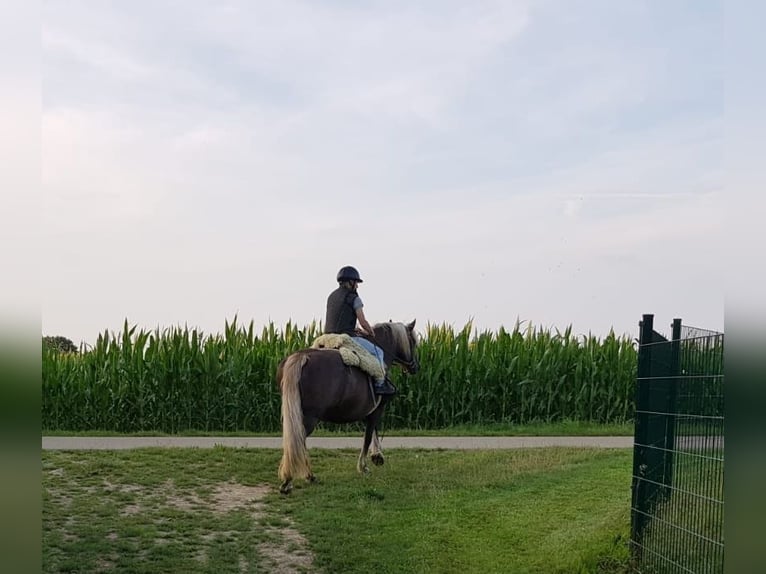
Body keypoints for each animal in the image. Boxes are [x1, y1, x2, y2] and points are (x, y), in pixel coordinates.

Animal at [276, 320, 420, 496]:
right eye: (413, 342)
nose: (415, 366)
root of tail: (302, 357)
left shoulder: (369, 410)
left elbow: (373, 430)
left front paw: (377, 456)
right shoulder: (376, 409)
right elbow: (368, 435)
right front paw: (364, 466)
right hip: (309, 417)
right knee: (299, 442)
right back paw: (295, 479)